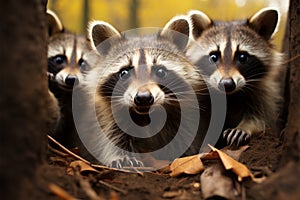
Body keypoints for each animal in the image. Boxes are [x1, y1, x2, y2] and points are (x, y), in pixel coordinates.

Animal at [75, 16, 206, 167]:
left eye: (160, 71)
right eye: (124, 73)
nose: (143, 97)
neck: (147, 116)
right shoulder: (107, 118)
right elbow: (110, 139)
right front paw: (119, 156)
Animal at [186, 7, 282, 148]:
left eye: (242, 57)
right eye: (214, 57)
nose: (226, 84)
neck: (230, 97)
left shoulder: (262, 93)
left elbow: (260, 117)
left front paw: (245, 127)